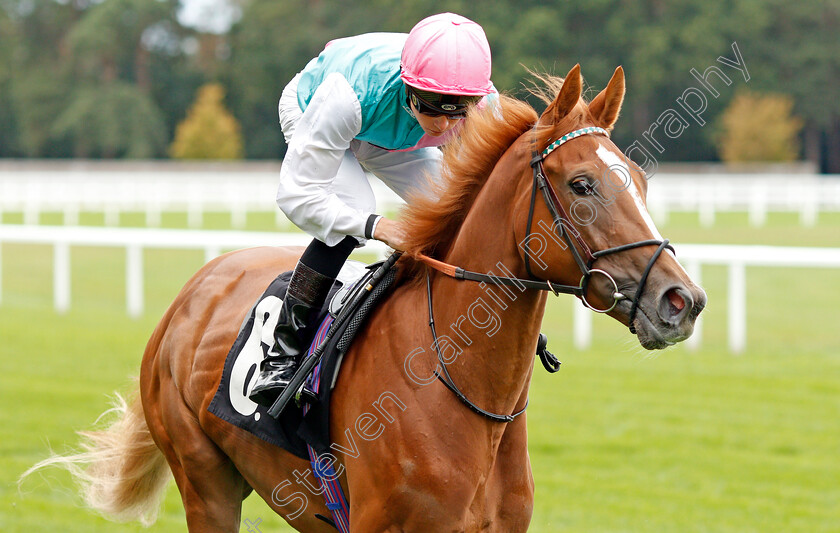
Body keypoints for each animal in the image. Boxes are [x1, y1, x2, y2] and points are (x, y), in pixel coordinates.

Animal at [29, 64, 704, 528]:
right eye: (583, 184)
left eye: (640, 181)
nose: (682, 300)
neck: (461, 386)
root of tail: (194, 289)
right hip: (204, 482)